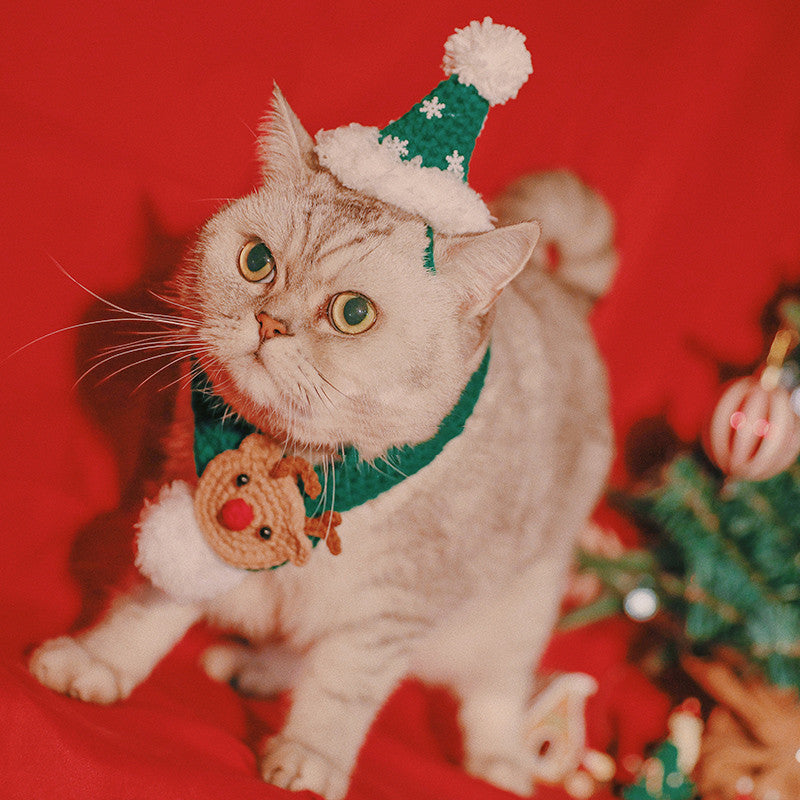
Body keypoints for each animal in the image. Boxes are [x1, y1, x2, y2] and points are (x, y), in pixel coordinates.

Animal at [28, 87, 616, 800]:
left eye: (353, 313)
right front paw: (100, 661)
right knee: (296, 639)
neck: (288, 460)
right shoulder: (195, 508)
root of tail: (566, 295)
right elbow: (146, 608)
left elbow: (341, 691)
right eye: (256, 261)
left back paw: (500, 761)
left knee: (496, 692)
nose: (269, 322)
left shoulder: (388, 610)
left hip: (520, 608)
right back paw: (257, 667)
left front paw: (311, 754)